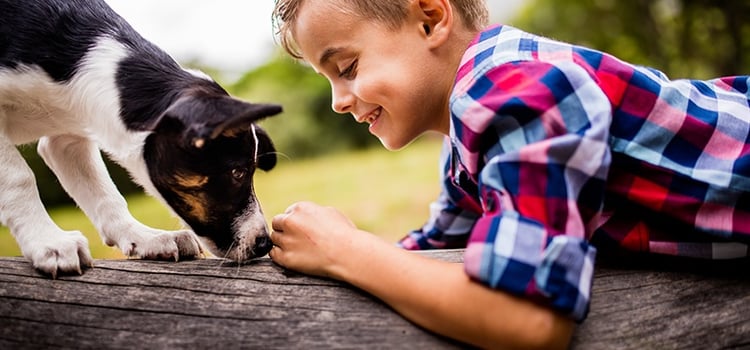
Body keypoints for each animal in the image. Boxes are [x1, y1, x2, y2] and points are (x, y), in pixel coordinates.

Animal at [0, 0, 282, 278]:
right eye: (238, 173)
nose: (265, 244)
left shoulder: (66, 140)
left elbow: (105, 193)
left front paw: (144, 238)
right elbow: (19, 177)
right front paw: (49, 242)